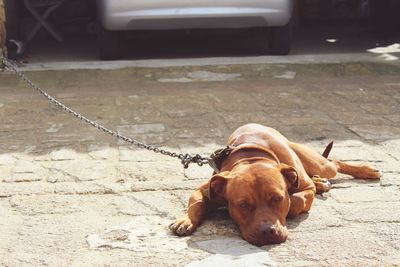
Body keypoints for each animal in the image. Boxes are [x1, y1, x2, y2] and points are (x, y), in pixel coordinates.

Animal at [169, 125, 382, 247]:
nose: (267, 232)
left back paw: (366, 171)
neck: (252, 159)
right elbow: (196, 202)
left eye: (277, 199)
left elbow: (295, 201)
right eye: (243, 205)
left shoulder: (305, 189)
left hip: (320, 164)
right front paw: (185, 220)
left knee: (334, 163)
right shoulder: (210, 187)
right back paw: (321, 182)